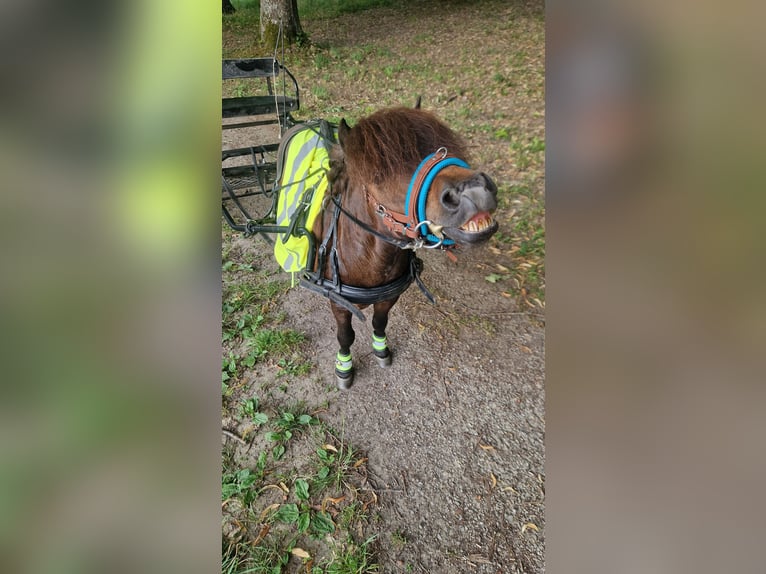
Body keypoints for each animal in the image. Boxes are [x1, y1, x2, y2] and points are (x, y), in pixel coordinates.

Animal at [314, 105, 500, 390]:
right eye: (378, 175)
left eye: (446, 143)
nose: (474, 190)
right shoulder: (339, 304)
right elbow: (345, 335)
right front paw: (344, 368)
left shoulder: (390, 297)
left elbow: (380, 322)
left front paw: (381, 349)